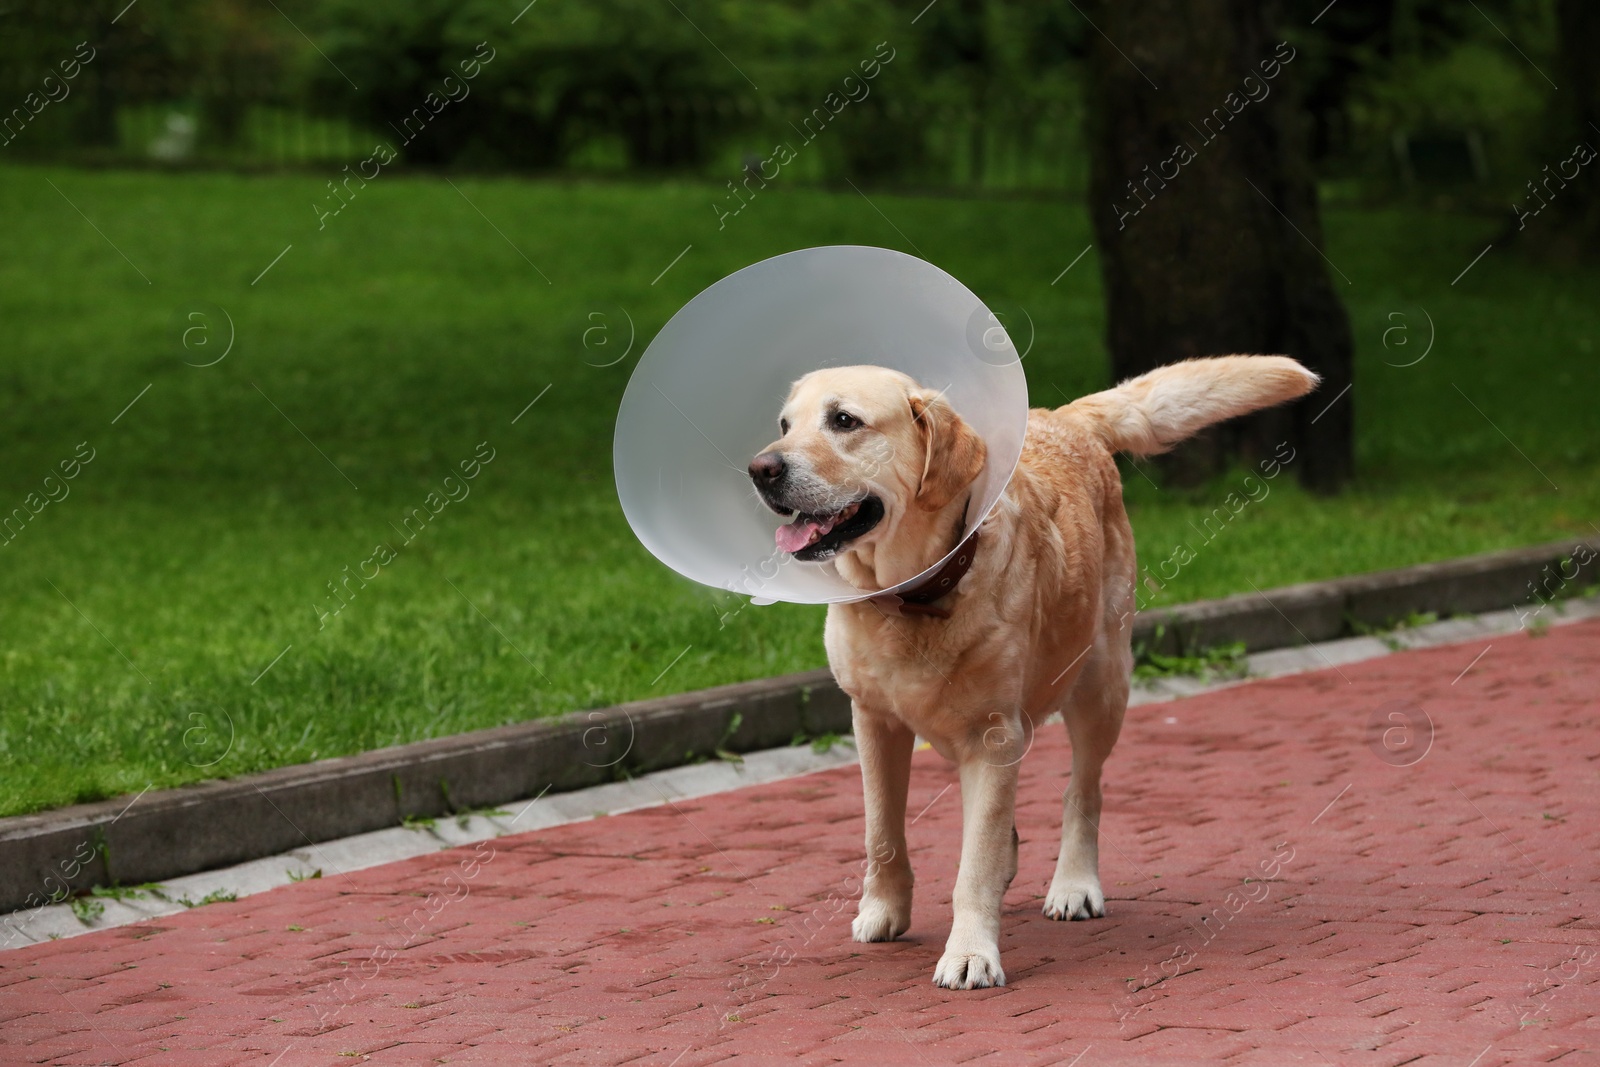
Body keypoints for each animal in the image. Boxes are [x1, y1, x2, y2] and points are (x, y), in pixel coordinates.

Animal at [745, 358, 1312, 991]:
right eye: (785, 424)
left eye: (844, 421)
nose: (760, 469)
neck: (915, 596)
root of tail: (1066, 418)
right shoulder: (873, 722)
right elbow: (881, 832)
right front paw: (885, 910)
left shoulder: (993, 736)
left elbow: (975, 861)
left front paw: (970, 952)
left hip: (1101, 687)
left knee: (1082, 794)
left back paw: (1074, 884)